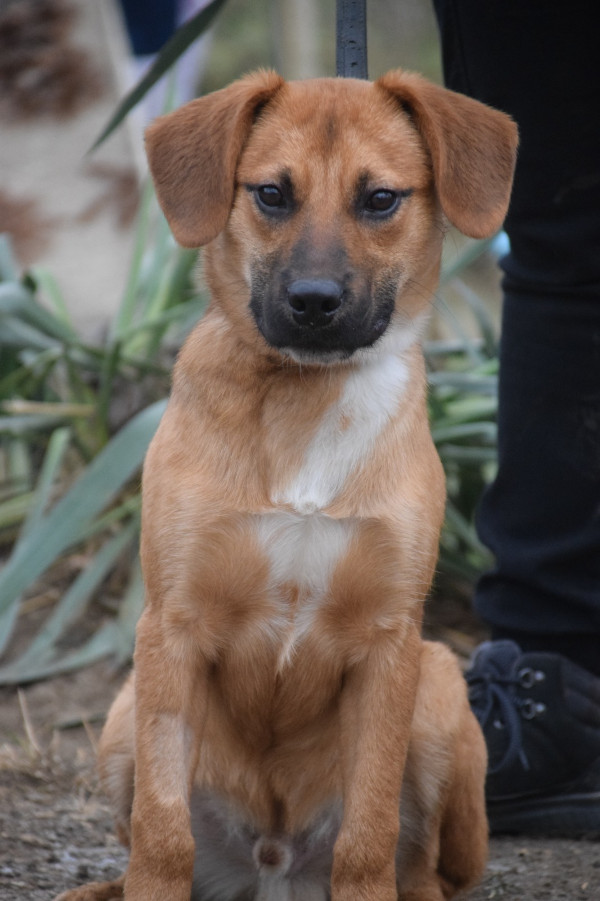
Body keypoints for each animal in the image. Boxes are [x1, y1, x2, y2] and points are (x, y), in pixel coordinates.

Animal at [55, 69, 517, 901]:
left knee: (424, 869)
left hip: (439, 686)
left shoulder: (389, 644)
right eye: (271, 193)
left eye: (380, 198)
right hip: (120, 713)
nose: (313, 300)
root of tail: (272, 865)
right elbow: (160, 831)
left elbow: (367, 834)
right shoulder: (169, 631)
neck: (308, 397)